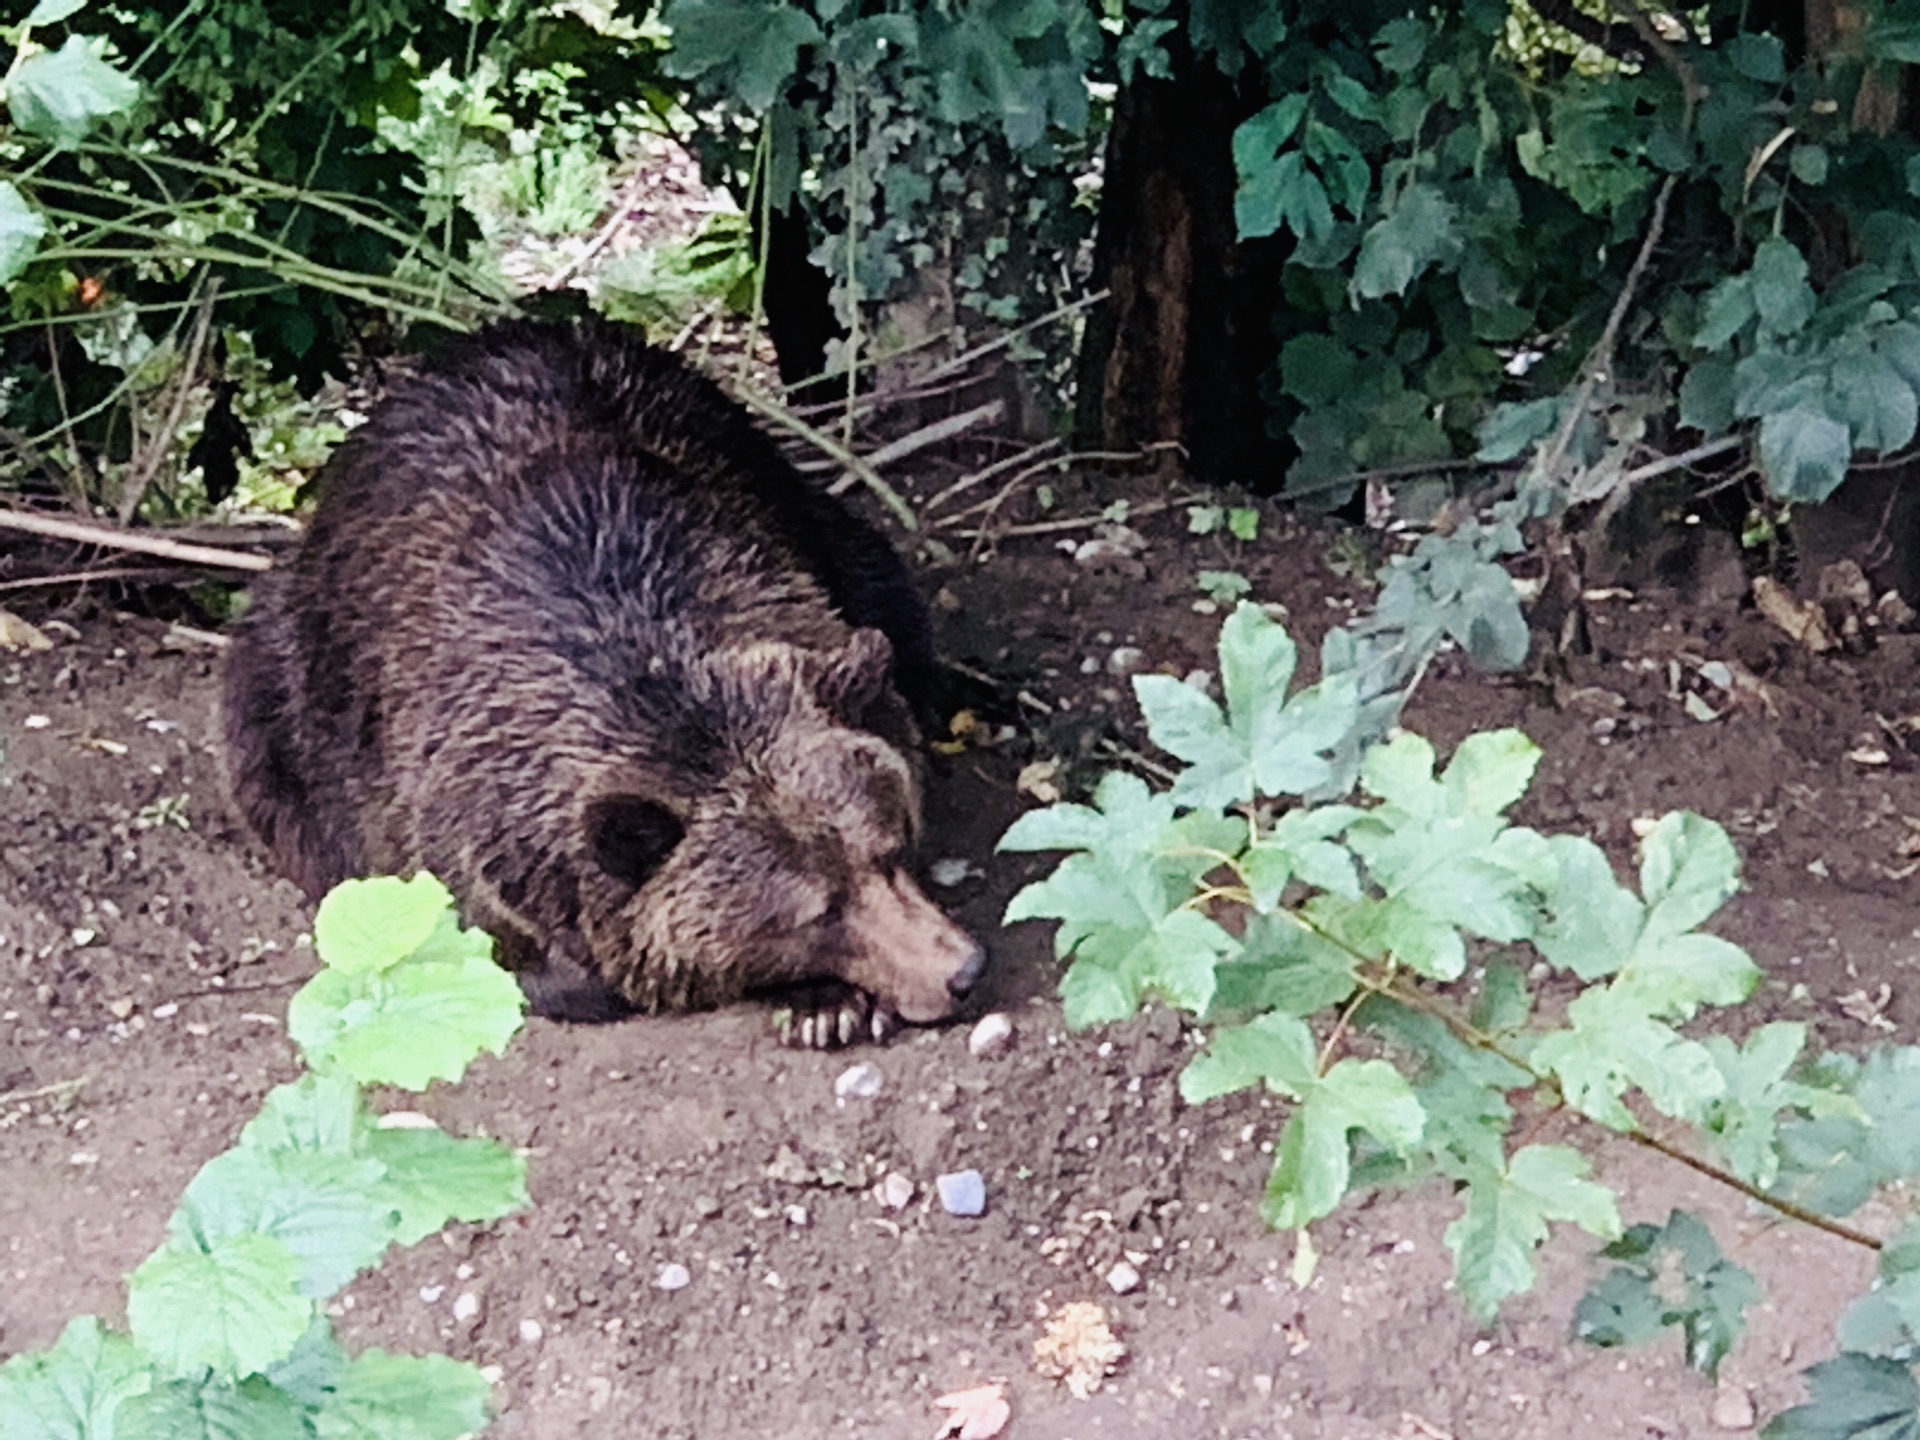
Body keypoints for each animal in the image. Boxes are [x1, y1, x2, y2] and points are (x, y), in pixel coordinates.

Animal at [217, 318, 983, 1052]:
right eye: (815, 911)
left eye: (888, 846)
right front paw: (820, 1001)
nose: (961, 971)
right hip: (278, 679)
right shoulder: (440, 820)